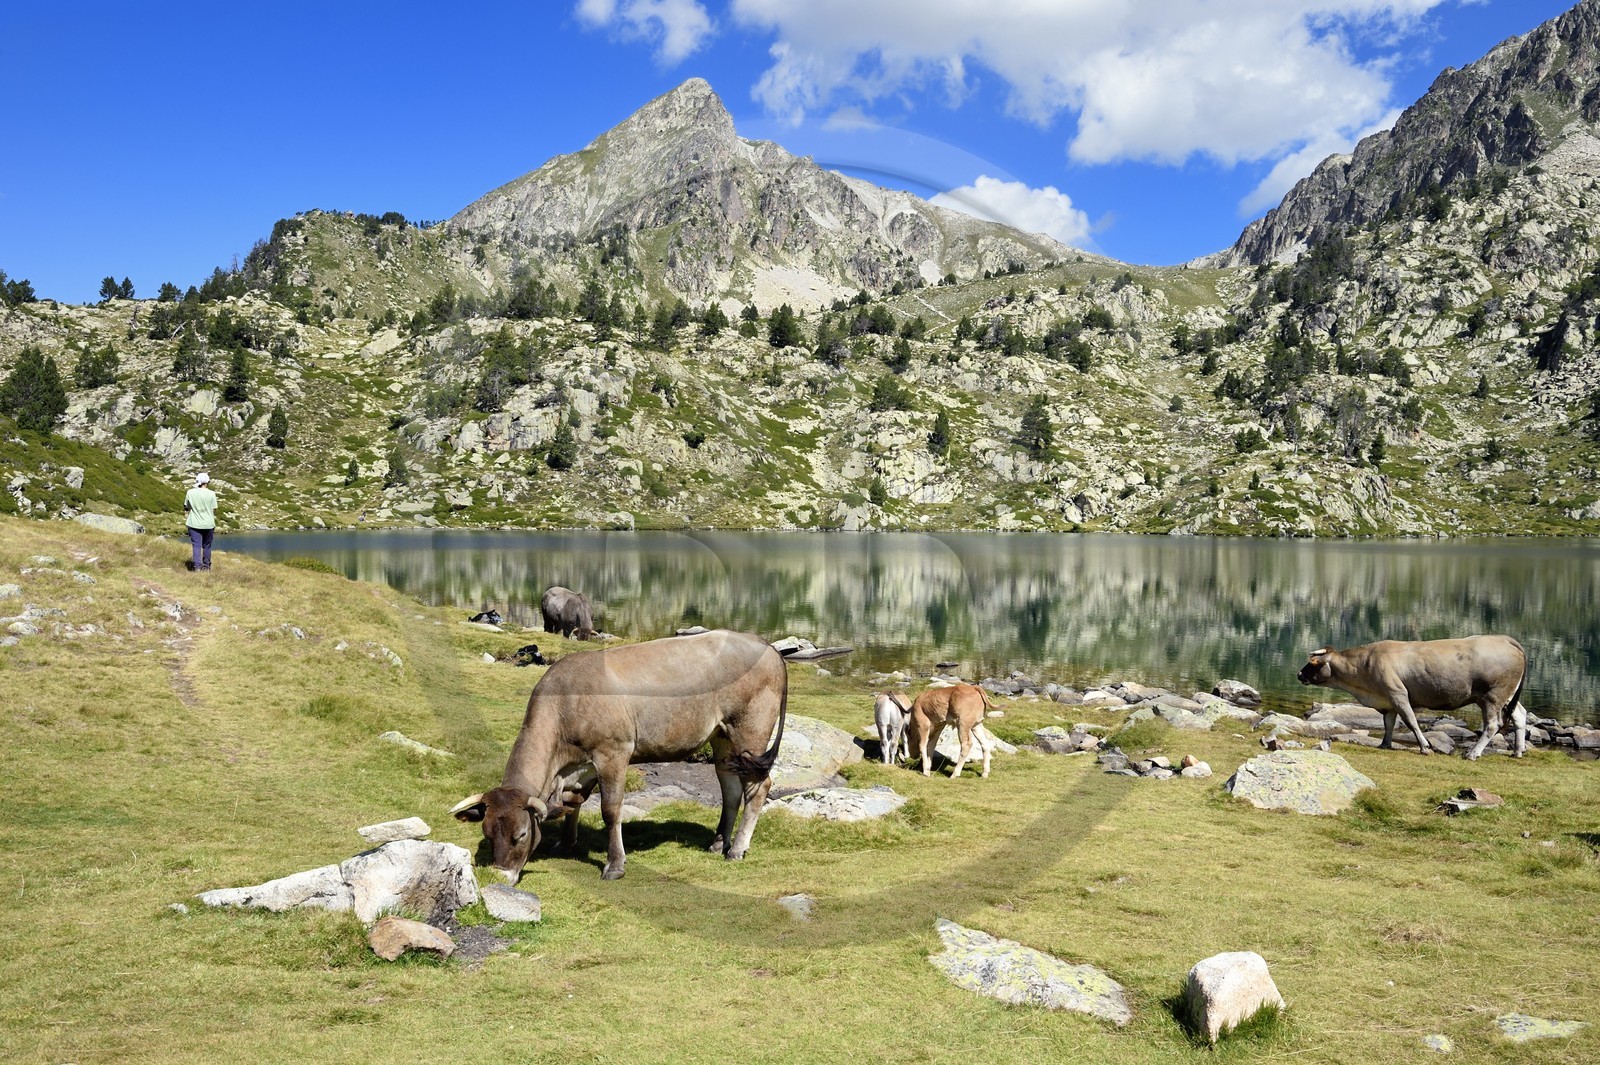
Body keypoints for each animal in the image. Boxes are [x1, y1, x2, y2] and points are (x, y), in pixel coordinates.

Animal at [451, 629, 787, 882]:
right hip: (721, 738)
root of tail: (764, 643)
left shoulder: (612, 754)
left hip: (749, 732)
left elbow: (610, 811)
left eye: (521, 835)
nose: (500, 876)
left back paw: (737, 849)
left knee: (758, 787)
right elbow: (573, 803)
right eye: (487, 834)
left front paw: (614, 865)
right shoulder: (579, 767)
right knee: (730, 788)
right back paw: (718, 843)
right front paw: (566, 842)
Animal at [1297, 635, 1528, 760]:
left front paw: (1425, 748)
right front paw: (1385, 744)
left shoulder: (1398, 694)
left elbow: (1411, 722)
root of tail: (1503, 639)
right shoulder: (1387, 700)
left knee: (1492, 724)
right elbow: (1389, 723)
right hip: (1507, 697)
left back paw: (1472, 754)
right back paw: (1517, 751)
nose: (1299, 674)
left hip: (1493, 696)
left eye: (1313, 662)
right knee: (1519, 715)